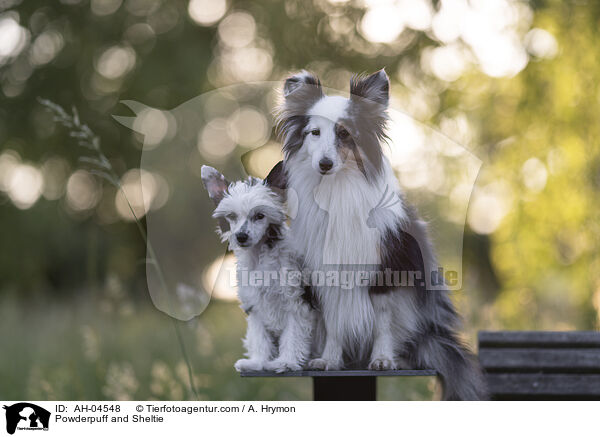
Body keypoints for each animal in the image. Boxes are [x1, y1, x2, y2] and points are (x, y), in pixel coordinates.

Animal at [202, 166, 314, 372]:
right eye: (232, 216)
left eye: (260, 216)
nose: (241, 236)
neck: (260, 257)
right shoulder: (256, 307)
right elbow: (260, 337)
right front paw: (258, 362)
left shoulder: (296, 303)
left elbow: (293, 335)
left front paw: (287, 361)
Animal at [270, 68, 490, 398]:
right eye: (314, 133)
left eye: (345, 134)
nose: (325, 164)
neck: (338, 188)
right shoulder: (326, 274)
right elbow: (335, 322)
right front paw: (330, 360)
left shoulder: (387, 270)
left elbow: (383, 323)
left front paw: (383, 359)